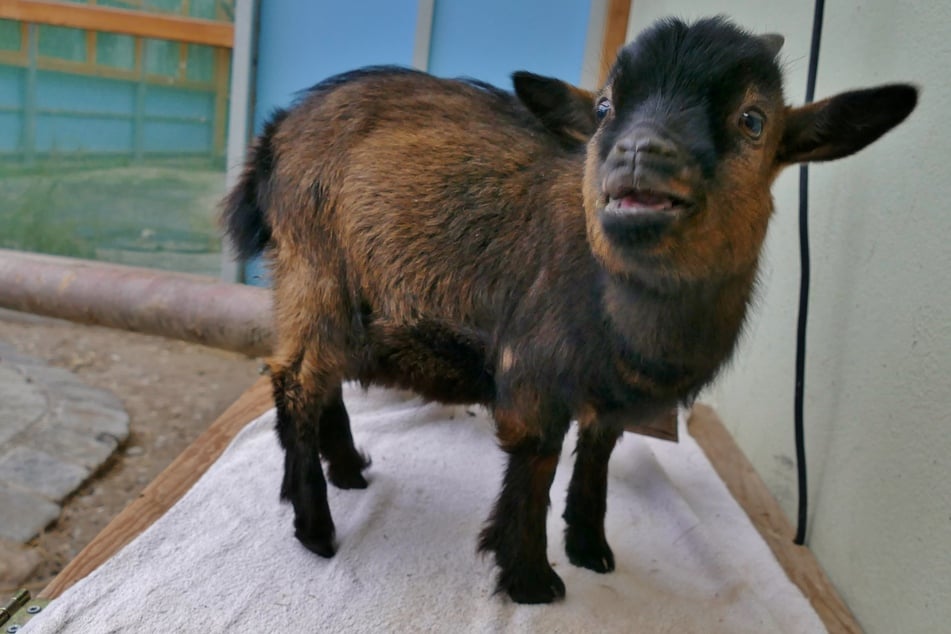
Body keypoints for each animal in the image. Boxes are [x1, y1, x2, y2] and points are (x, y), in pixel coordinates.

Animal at [221, 17, 916, 604]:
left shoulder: (611, 392)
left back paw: (348, 471)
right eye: (605, 107)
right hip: (316, 270)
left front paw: (591, 550)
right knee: (296, 382)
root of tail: (276, 133)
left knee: (320, 377)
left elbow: (598, 456)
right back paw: (316, 526)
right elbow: (537, 461)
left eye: (753, 119)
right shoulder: (535, 370)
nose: (639, 154)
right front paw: (532, 579)